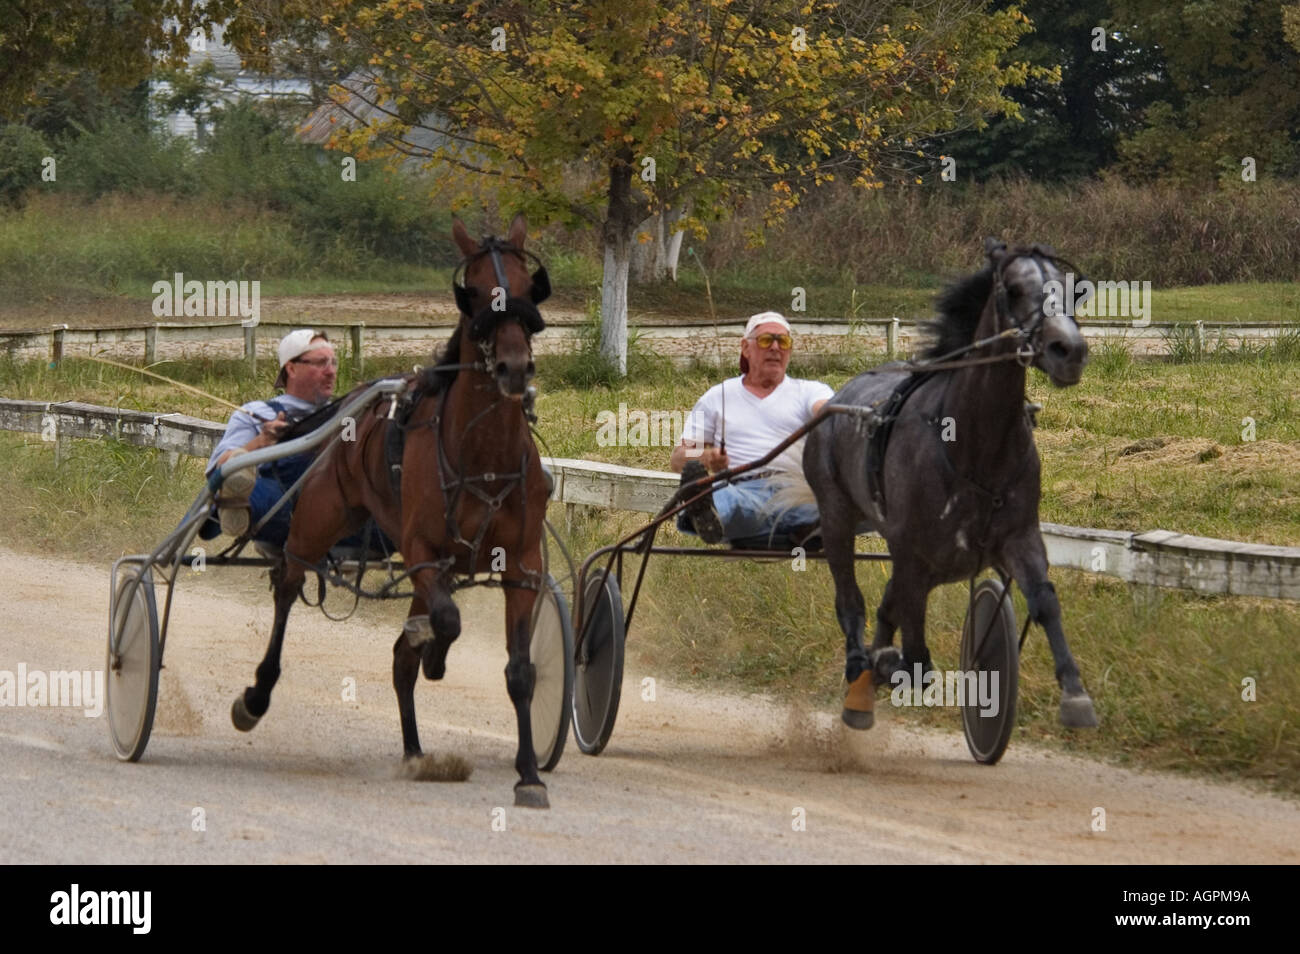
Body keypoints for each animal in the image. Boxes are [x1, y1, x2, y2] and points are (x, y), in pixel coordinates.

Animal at [231, 214, 556, 805]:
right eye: (474, 290)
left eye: (527, 287)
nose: (513, 368)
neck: (484, 456)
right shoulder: (424, 551)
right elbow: (448, 621)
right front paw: (437, 655)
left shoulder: (522, 565)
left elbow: (519, 670)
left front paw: (529, 775)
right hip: (317, 516)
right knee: (288, 583)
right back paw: (257, 694)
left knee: (399, 656)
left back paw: (414, 750)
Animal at [790, 239, 1097, 733]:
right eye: (1014, 290)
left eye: (1074, 290)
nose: (1067, 349)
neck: (973, 447)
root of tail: (837, 399)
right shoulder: (912, 551)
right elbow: (914, 652)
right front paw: (889, 664)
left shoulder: (1020, 536)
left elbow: (1045, 602)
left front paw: (1074, 694)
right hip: (837, 514)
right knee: (852, 601)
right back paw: (861, 665)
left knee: (887, 607)